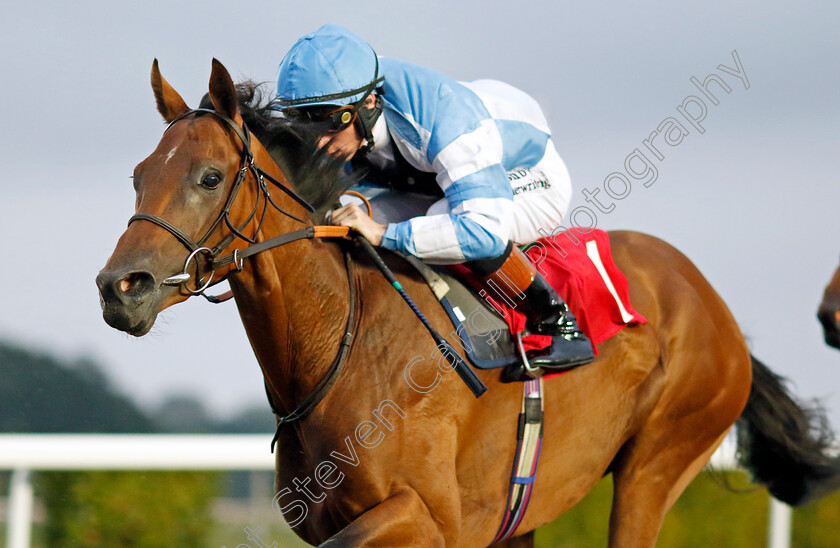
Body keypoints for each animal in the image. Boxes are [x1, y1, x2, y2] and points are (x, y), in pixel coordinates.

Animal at [95, 57, 836, 544]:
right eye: (137, 175)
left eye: (208, 176)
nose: (119, 288)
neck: (341, 342)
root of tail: (709, 300)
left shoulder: (427, 518)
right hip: (528, 506)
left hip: (658, 462)